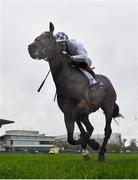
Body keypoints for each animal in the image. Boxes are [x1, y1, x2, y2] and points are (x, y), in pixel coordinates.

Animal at [28, 22, 123, 162]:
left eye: (49, 37)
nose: (31, 47)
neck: (67, 79)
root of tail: (109, 82)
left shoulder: (83, 105)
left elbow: (81, 129)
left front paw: (92, 144)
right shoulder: (67, 113)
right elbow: (71, 138)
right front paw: (89, 145)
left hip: (108, 107)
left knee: (107, 130)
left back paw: (101, 153)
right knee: (87, 125)